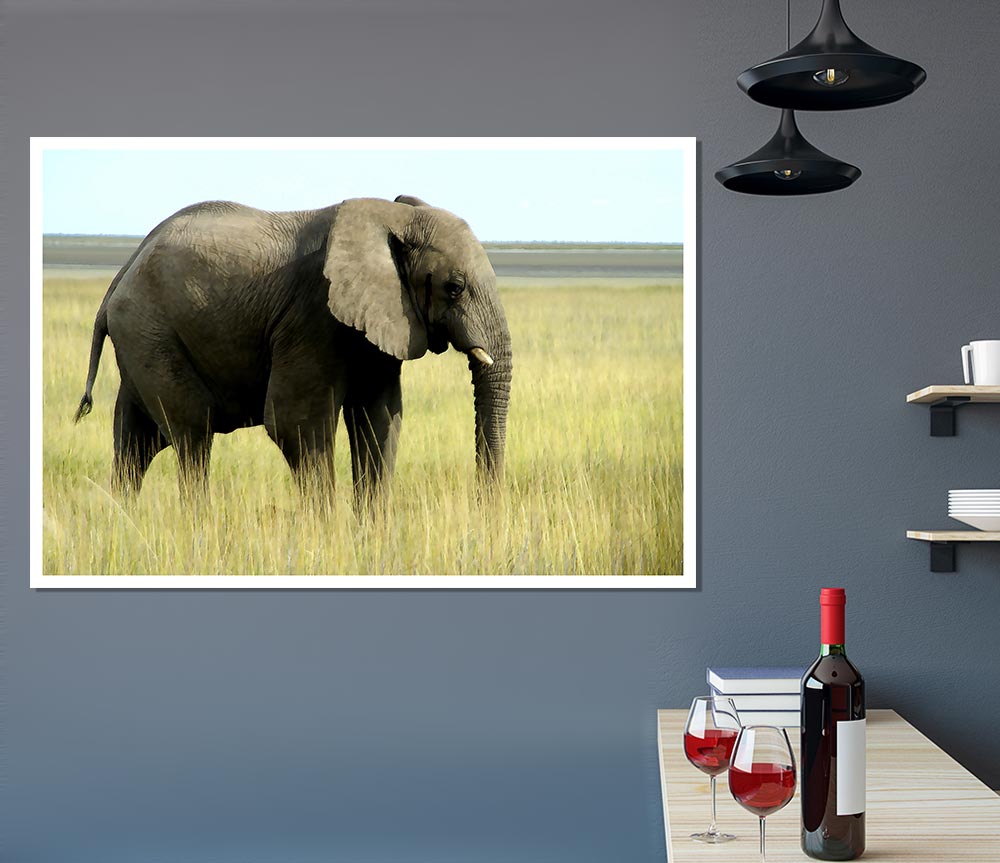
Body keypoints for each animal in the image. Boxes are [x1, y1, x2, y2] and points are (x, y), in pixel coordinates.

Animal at [73, 195, 512, 507]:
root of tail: (118, 279)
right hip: (150, 332)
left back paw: (123, 520)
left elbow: (380, 417)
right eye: (454, 287)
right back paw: (196, 524)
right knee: (192, 434)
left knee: (136, 441)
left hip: (142, 340)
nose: (483, 509)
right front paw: (328, 536)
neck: (392, 216)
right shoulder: (312, 314)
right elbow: (296, 424)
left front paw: (371, 536)